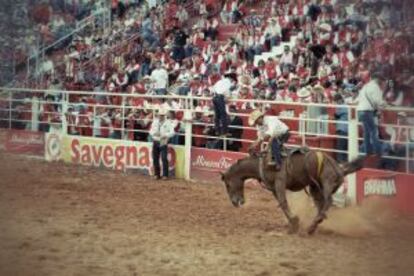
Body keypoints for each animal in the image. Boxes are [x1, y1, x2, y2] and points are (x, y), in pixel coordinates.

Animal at [220, 149, 362, 235]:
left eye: (227, 184)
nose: (235, 202)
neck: (263, 163)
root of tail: (340, 168)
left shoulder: (280, 183)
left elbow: (283, 203)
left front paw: (294, 222)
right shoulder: (274, 188)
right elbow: (282, 203)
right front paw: (292, 223)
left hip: (326, 181)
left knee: (328, 201)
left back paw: (314, 223)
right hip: (315, 187)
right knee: (320, 204)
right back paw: (313, 226)